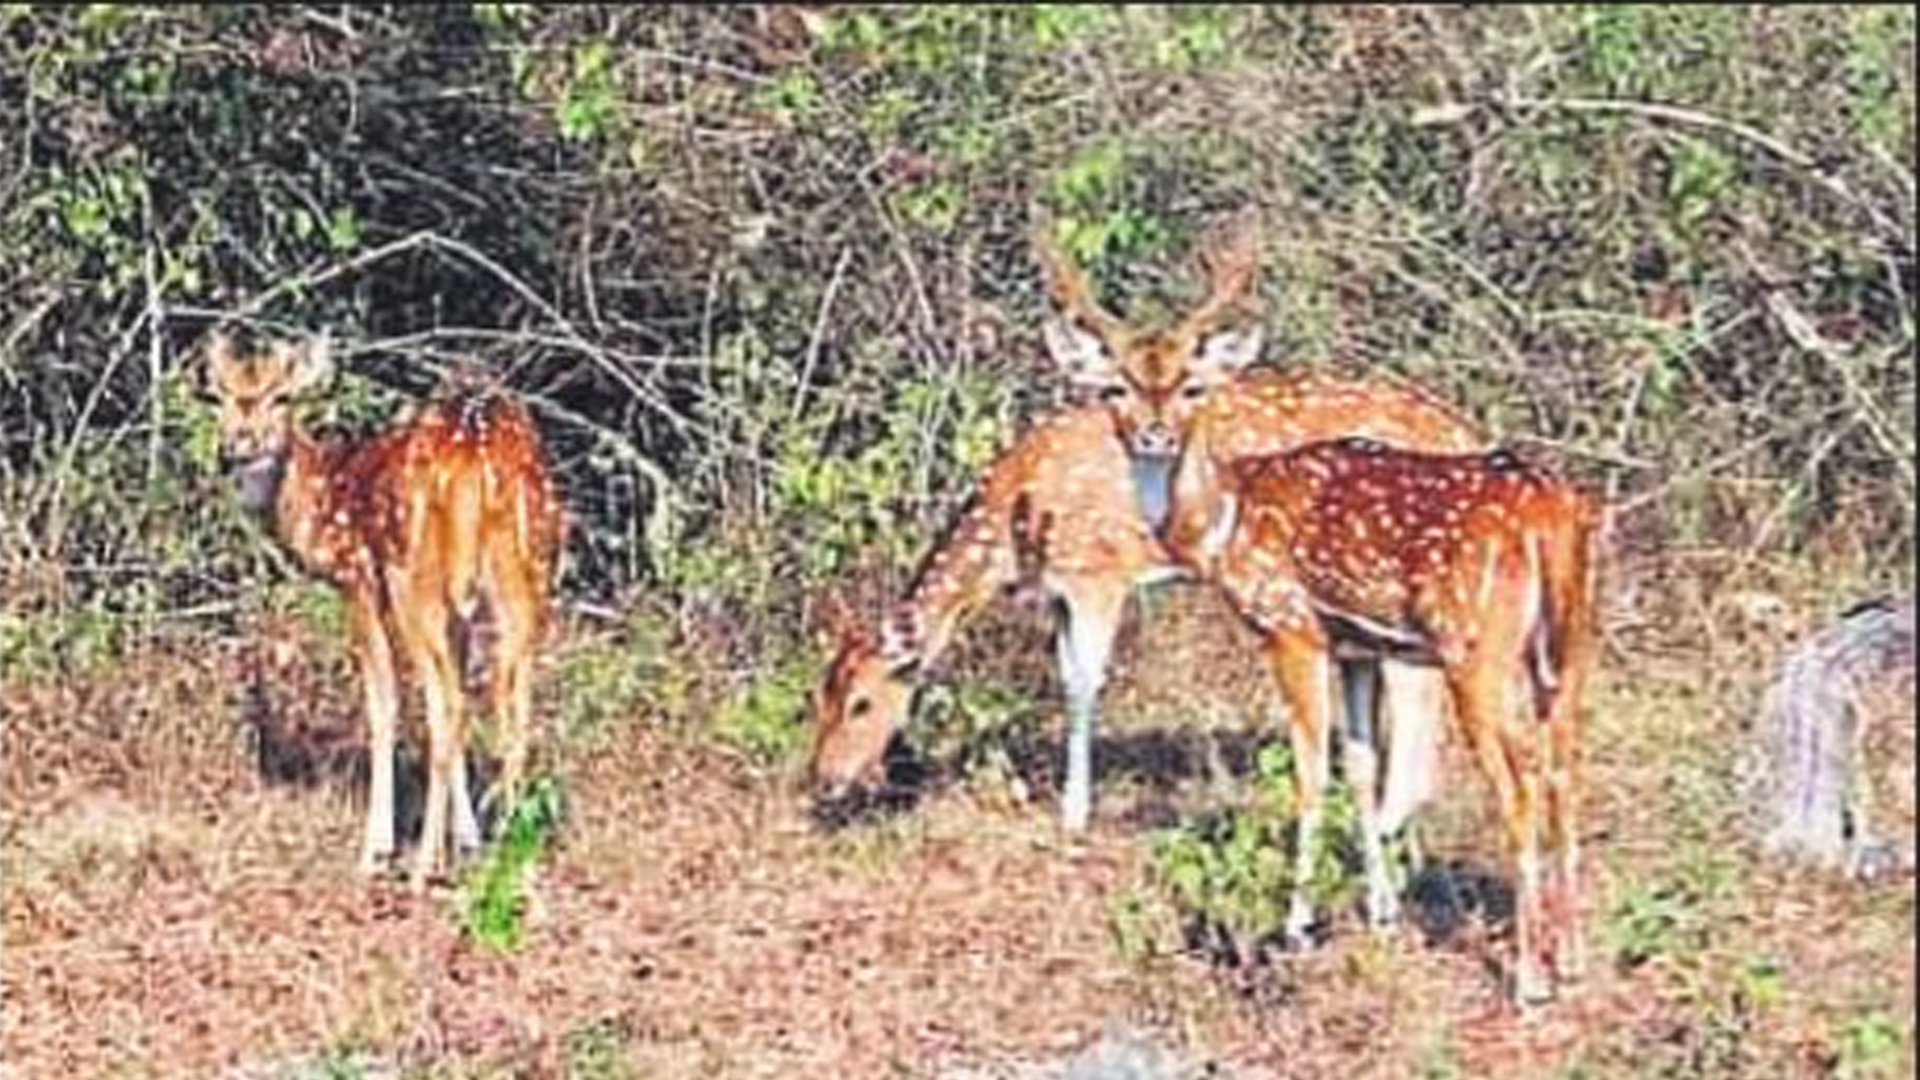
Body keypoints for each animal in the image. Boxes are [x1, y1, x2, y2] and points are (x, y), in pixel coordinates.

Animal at [201, 332, 560, 887]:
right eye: (219, 397)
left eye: (281, 397)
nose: (236, 444)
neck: (320, 504)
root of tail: (478, 462)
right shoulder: (456, 613)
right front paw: (469, 840)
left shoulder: (359, 579)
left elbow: (383, 702)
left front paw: (377, 849)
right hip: (526, 569)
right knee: (511, 703)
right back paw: (511, 856)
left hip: (413, 577)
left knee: (445, 702)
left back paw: (422, 866)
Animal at [1159, 424, 1612, 1006]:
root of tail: (1551, 511)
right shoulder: (1360, 651)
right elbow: (1361, 770)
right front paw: (1382, 915)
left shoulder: (1292, 628)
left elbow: (1310, 777)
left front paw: (1298, 926)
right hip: (1569, 651)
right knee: (1562, 772)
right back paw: (1572, 964)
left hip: (1474, 651)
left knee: (1520, 783)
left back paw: (1530, 982)